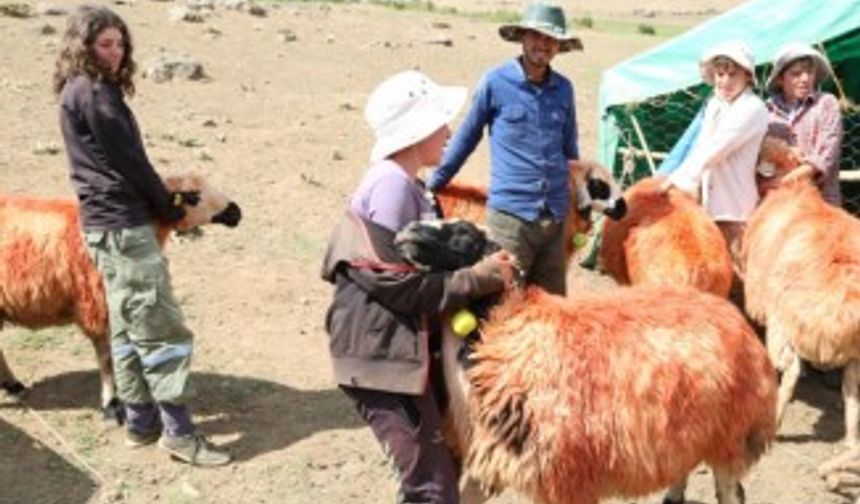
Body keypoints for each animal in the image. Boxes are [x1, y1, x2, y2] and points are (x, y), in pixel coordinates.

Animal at [0, 174, 242, 422]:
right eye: (193, 196)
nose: (236, 212)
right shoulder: (96, 305)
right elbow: (106, 358)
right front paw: (111, 403)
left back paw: (12, 384)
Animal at [396, 220, 780, 504]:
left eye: (463, 232)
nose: (406, 232)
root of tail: (737, 319)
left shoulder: (565, 476)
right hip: (692, 433)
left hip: (733, 436)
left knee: (730, 492)